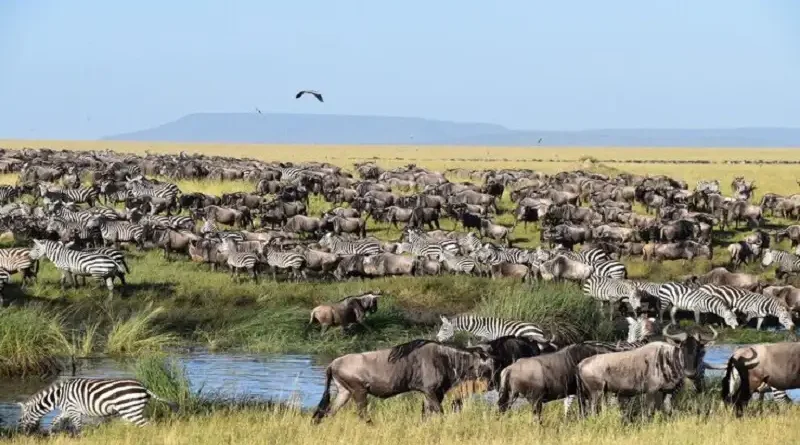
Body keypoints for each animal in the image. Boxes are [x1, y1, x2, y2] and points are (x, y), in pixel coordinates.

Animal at [17, 376, 177, 432]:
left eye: (21, 419)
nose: (23, 433)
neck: (58, 396)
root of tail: (144, 388)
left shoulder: (73, 410)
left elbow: (78, 427)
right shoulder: (67, 410)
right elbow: (55, 421)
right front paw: (51, 434)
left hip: (131, 410)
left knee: (148, 426)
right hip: (131, 411)